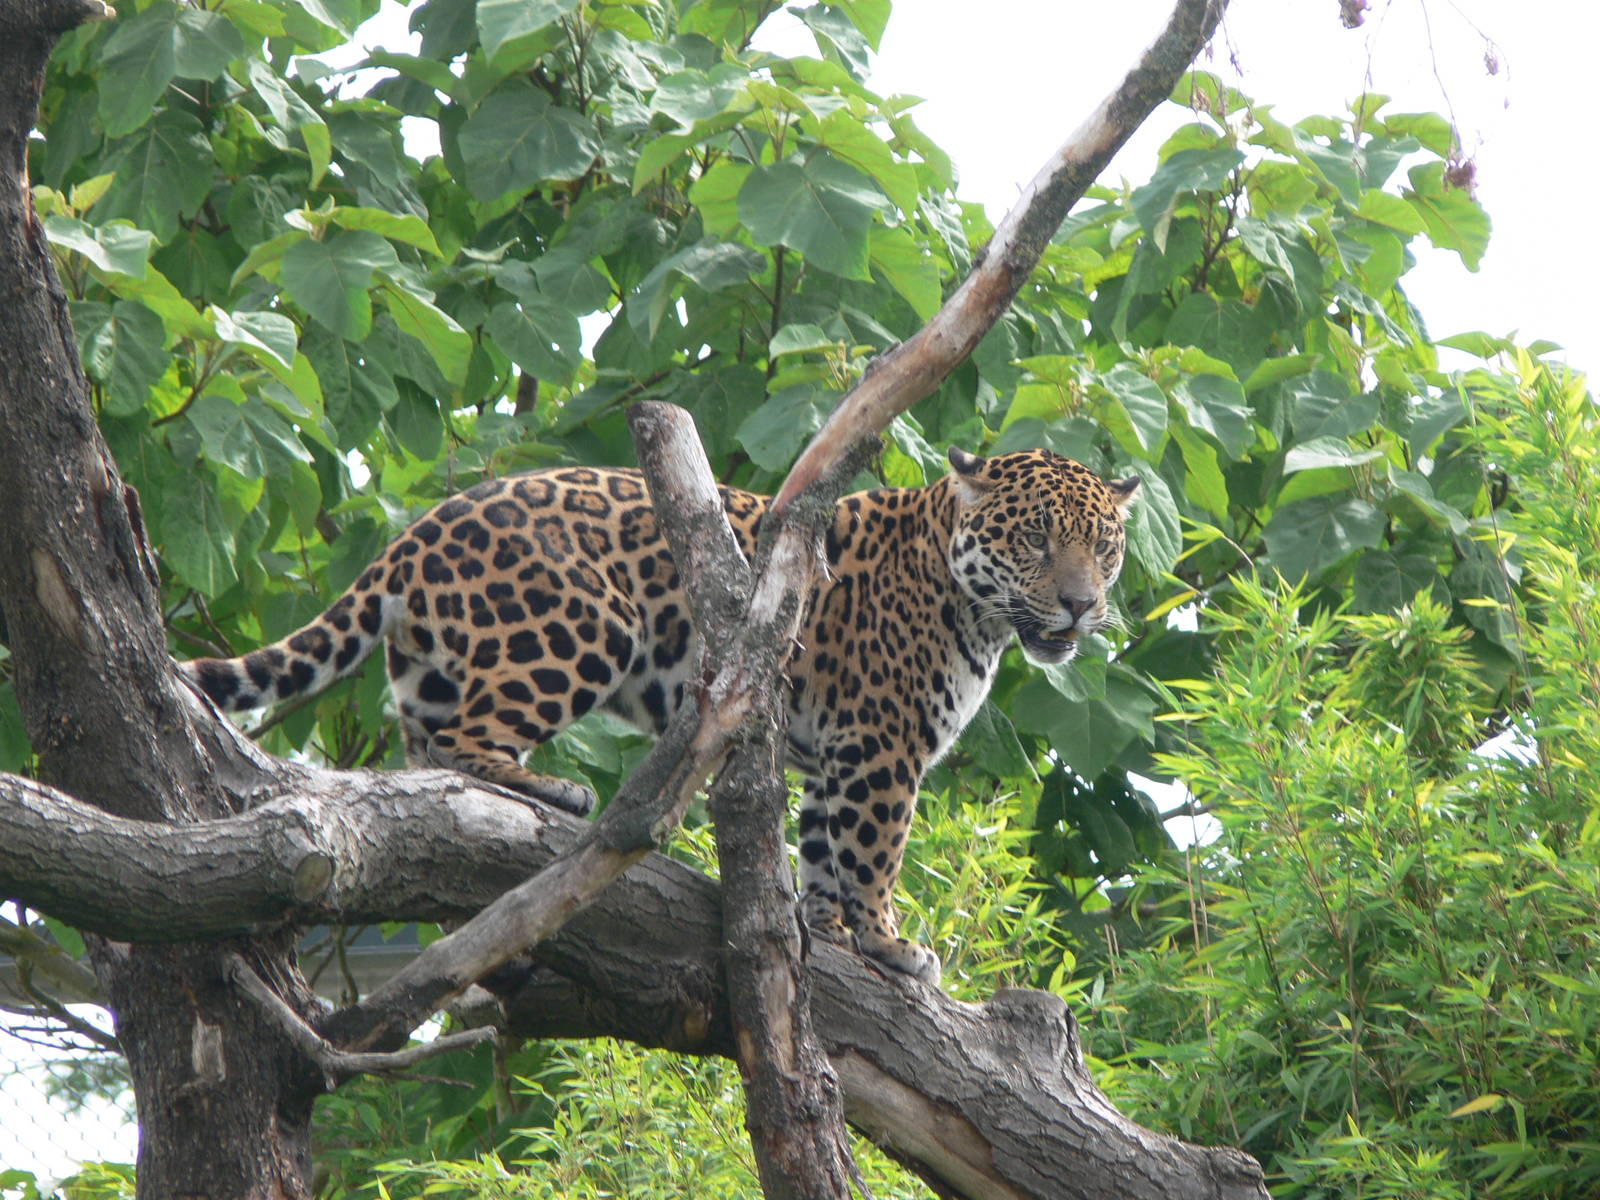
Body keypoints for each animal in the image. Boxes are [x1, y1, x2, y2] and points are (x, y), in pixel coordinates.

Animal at [182, 446, 1139, 985]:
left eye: (1104, 546)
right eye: (1035, 539)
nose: (1082, 605)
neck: (975, 610)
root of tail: (416, 530)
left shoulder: (839, 756)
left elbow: (827, 852)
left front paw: (831, 935)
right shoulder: (880, 748)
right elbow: (875, 854)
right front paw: (889, 946)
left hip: (434, 663)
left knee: (422, 751)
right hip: (579, 626)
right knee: (464, 740)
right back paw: (548, 790)